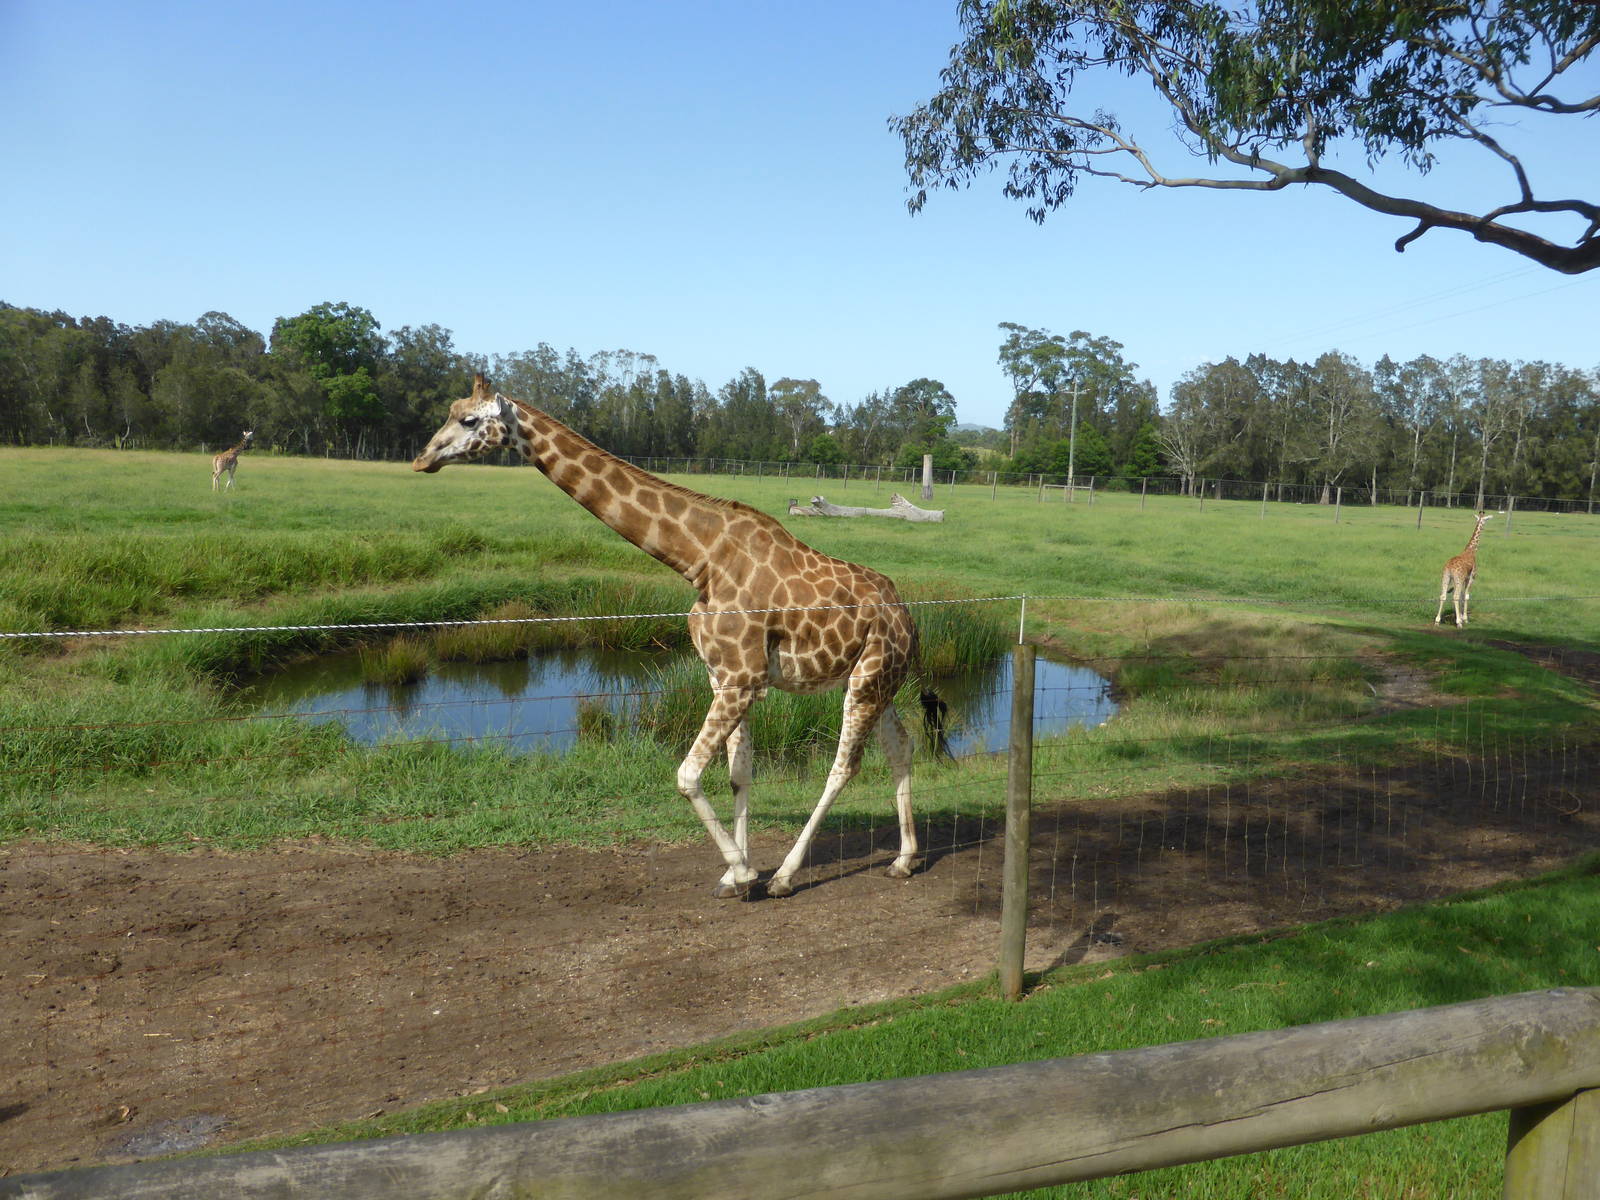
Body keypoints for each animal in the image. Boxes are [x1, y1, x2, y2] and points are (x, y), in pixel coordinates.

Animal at [414, 374, 947, 899]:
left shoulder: (741, 678)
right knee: (900, 748)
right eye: (450, 413)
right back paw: (903, 860)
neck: (699, 560)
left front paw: (745, 871)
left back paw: (786, 875)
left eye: (469, 420)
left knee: (844, 766)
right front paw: (735, 874)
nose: (423, 458)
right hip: (876, 681)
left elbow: (687, 775)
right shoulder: (725, 677)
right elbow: (739, 774)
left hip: (868, 680)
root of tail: (908, 617)